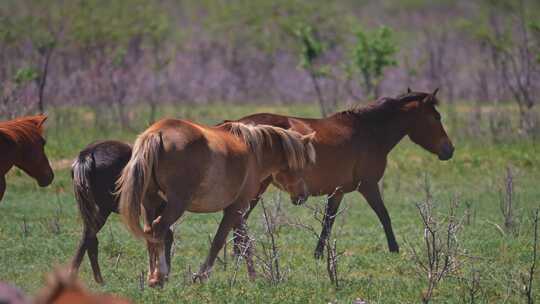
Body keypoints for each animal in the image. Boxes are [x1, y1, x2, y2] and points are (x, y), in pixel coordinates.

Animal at [116, 119, 314, 288]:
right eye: (302, 165)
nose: (303, 195)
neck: (253, 151)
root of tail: (157, 133)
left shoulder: (239, 211)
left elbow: (245, 243)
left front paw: (253, 277)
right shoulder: (236, 208)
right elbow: (219, 241)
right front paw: (202, 276)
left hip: (150, 203)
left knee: (150, 232)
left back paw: (152, 276)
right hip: (176, 204)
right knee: (159, 229)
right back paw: (159, 276)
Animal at [232, 89, 452, 258]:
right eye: (437, 117)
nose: (450, 149)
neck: (369, 131)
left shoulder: (337, 191)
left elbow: (328, 223)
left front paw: (318, 255)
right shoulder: (368, 185)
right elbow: (384, 216)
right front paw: (394, 249)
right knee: (239, 217)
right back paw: (237, 255)